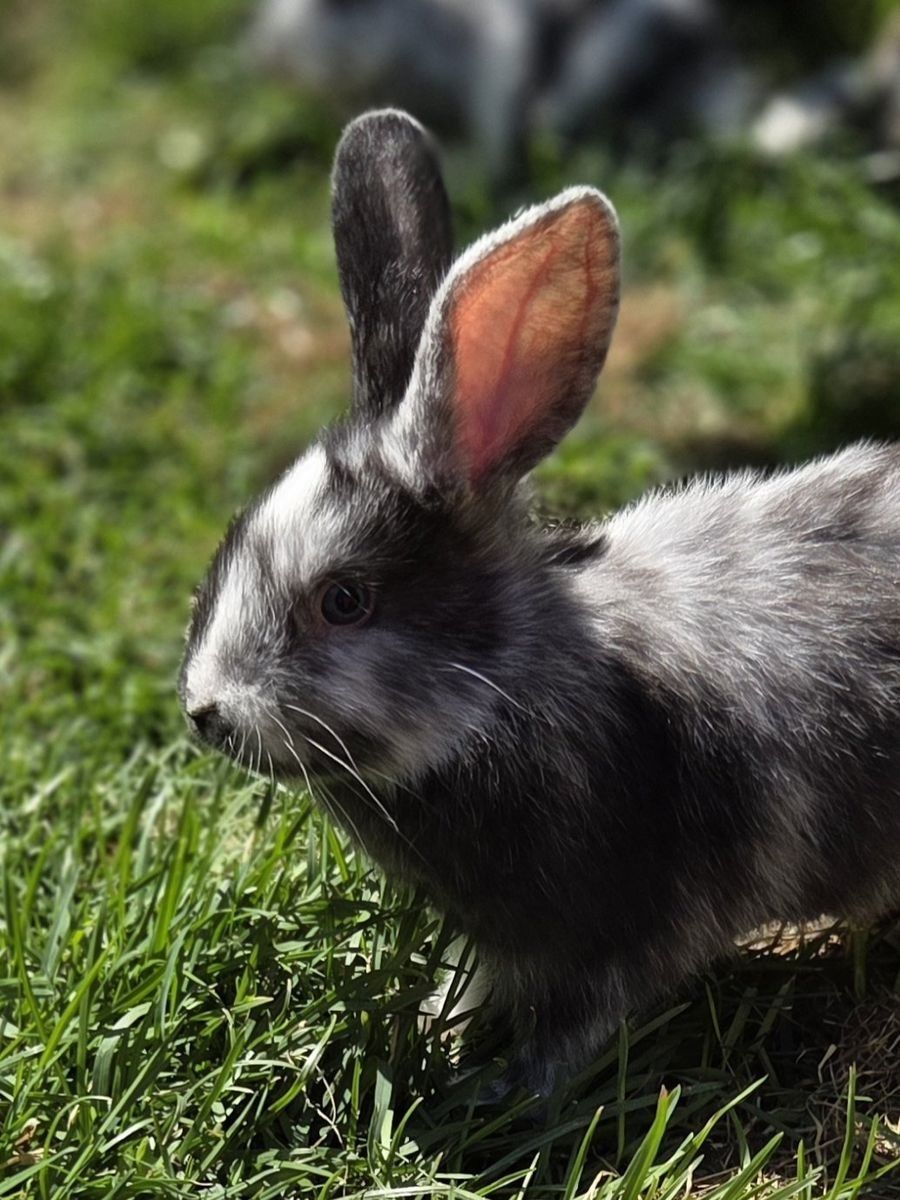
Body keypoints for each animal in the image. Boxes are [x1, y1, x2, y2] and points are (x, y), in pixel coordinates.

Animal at [180, 108, 900, 1100]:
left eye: (344, 600)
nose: (203, 710)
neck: (508, 690)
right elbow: (474, 985)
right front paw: (441, 1033)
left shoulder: (628, 933)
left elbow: (568, 1031)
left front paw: (496, 1091)